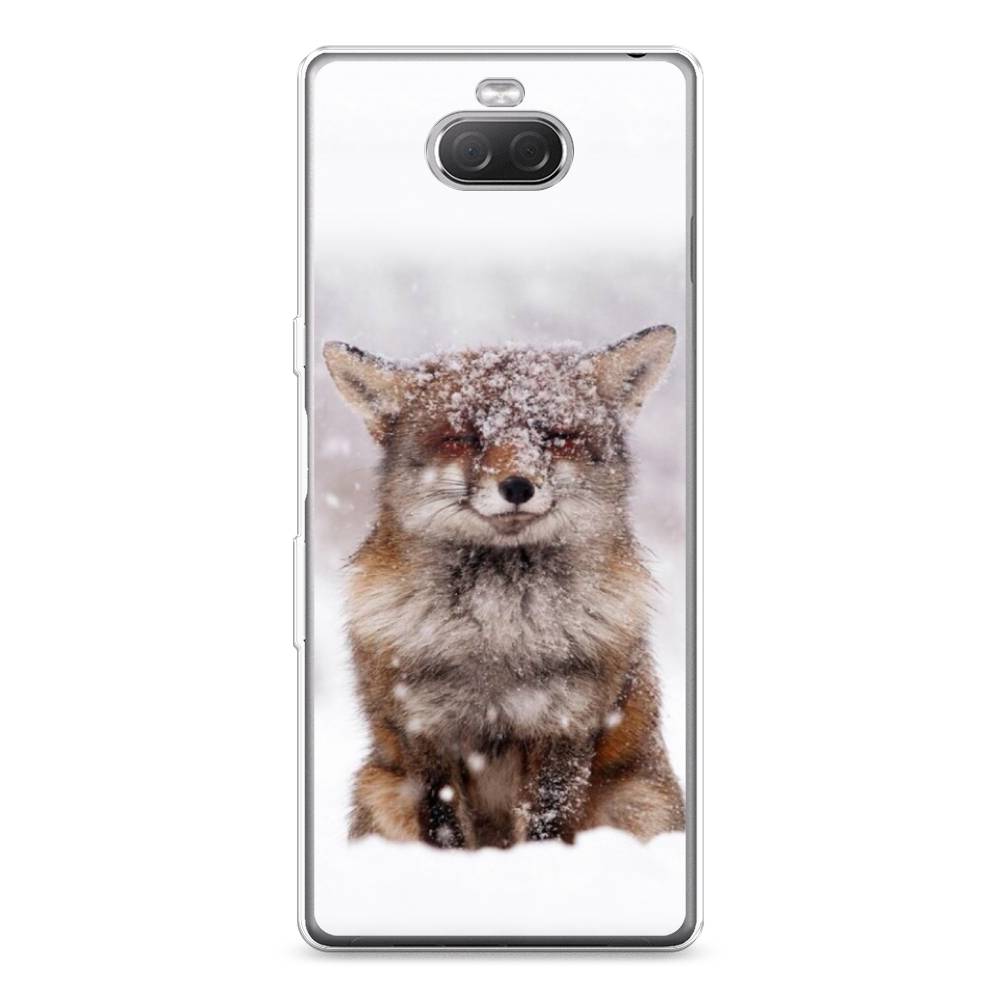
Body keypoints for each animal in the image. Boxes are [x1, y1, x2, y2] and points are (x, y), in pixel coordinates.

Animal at [322, 325, 685, 849]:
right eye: (464, 438)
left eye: (555, 436)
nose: (517, 486)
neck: (497, 632)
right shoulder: (424, 730)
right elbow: (445, 826)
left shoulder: (566, 723)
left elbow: (547, 822)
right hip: (379, 788)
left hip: (637, 800)